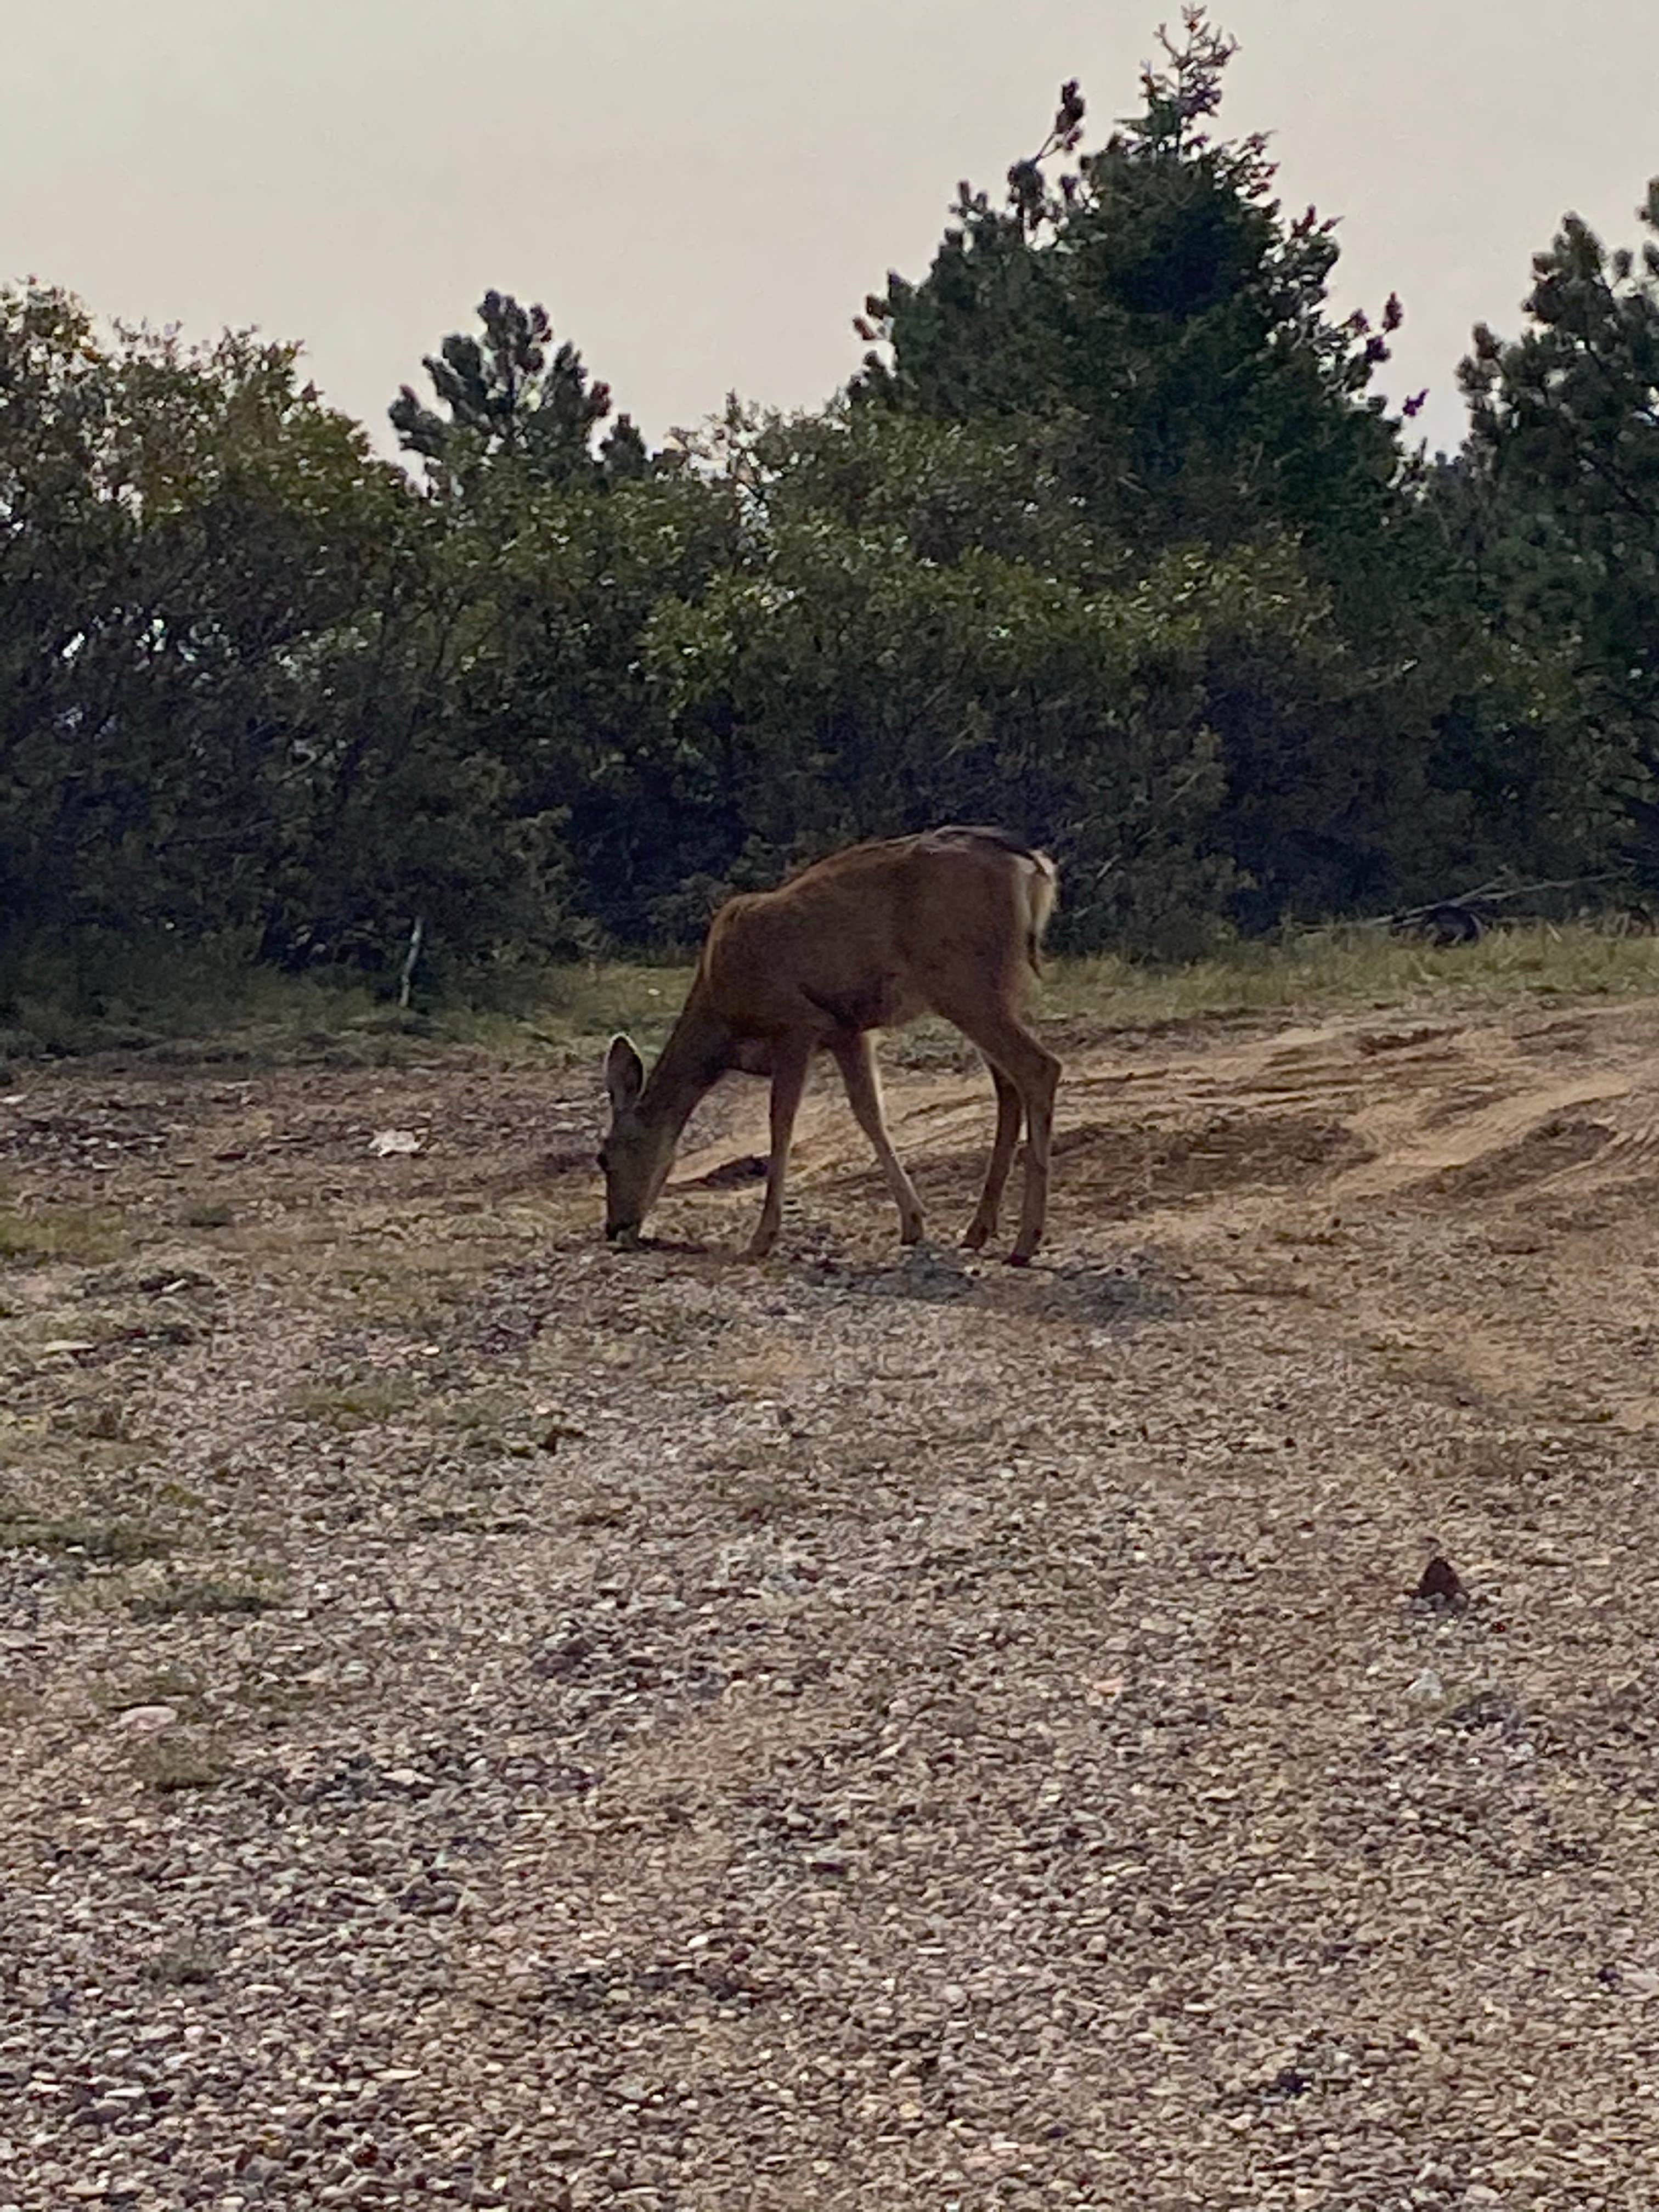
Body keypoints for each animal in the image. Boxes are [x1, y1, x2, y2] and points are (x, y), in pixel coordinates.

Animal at [601, 822, 1066, 1265]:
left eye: (604, 1157)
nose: (613, 1227)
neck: (722, 1017)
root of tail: (1031, 864)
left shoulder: (796, 1022)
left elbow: (781, 1124)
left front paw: (761, 1239)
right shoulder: (848, 1030)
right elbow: (869, 1113)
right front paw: (913, 1222)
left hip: (961, 981)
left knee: (1040, 1068)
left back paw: (1026, 1242)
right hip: (994, 985)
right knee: (1009, 1087)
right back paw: (979, 1230)